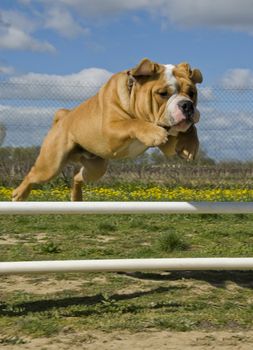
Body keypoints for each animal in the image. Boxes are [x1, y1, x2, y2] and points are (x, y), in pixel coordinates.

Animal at [12, 58, 204, 201]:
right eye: (163, 94)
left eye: (192, 93)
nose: (187, 105)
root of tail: (63, 118)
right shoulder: (111, 130)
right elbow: (132, 123)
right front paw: (154, 132)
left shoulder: (169, 142)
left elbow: (189, 128)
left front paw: (189, 145)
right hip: (51, 165)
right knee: (32, 175)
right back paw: (18, 195)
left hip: (96, 168)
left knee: (77, 176)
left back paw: (76, 197)